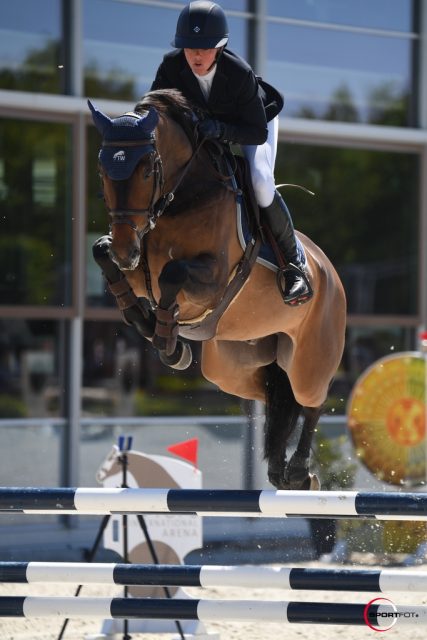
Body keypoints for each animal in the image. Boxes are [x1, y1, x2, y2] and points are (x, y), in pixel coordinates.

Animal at [88, 89, 346, 491]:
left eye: (146, 169)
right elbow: (102, 254)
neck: (181, 199)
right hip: (231, 367)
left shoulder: (212, 279)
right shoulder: (134, 269)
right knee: (276, 394)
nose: (127, 250)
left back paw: (300, 470)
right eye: (102, 170)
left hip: (312, 356)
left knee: (311, 400)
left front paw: (168, 339)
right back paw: (281, 470)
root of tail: (329, 271)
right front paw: (148, 323)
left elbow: (173, 274)